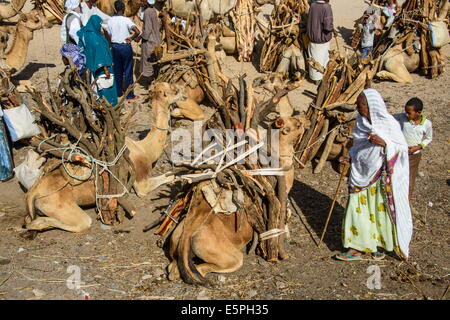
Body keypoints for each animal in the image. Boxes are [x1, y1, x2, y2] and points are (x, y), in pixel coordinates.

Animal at [23, 81, 185, 235]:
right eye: (174, 90)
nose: (184, 95)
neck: (145, 149)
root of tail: (33, 192)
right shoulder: (140, 182)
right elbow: (168, 177)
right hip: (58, 206)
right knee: (77, 222)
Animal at [167, 114, 312, 284]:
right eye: (298, 123)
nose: (306, 118)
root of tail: (188, 233)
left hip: (176, 241)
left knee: (173, 269)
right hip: (229, 256)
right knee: (204, 269)